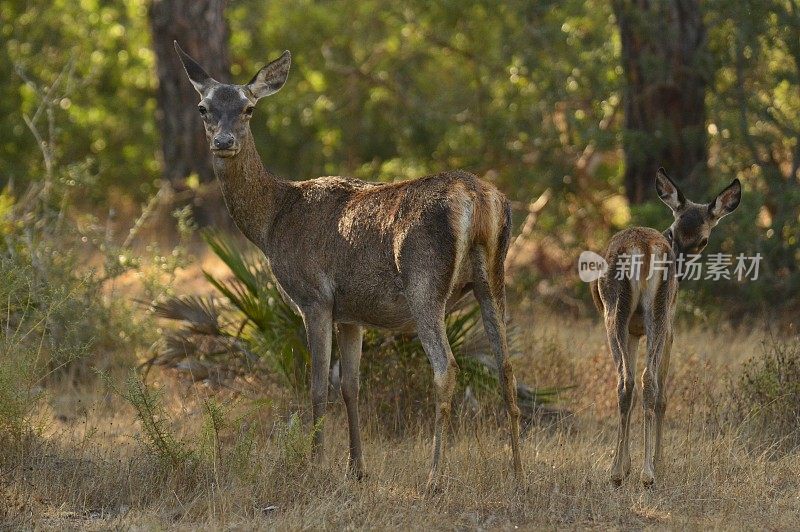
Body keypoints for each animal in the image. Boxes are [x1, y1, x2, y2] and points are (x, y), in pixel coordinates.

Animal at [174, 43, 520, 488]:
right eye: (203, 107)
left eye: (249, 108)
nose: (224, 141)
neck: (273, 222)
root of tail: (478, 199)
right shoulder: (351, 313)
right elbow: (351, 386)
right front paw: (356, 468)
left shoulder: (314, 297)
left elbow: (318, 387)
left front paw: (313, 465)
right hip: (493, 277)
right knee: (506, 366)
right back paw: (518, 471)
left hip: (424, 283)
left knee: (447, 369)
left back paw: (433, 479)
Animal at [592, 169, 740, 486]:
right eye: (674, 230)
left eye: (703, 240)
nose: (679, 272)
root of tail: (643, 248)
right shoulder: (668, 331)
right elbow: (661, 395)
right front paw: (655, 461)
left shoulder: (637, 331)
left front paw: (633, 463)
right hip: (654, 314)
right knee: (644, 382)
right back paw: (642, 472)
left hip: (620, 315)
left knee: (629, 381)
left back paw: (625, 472)